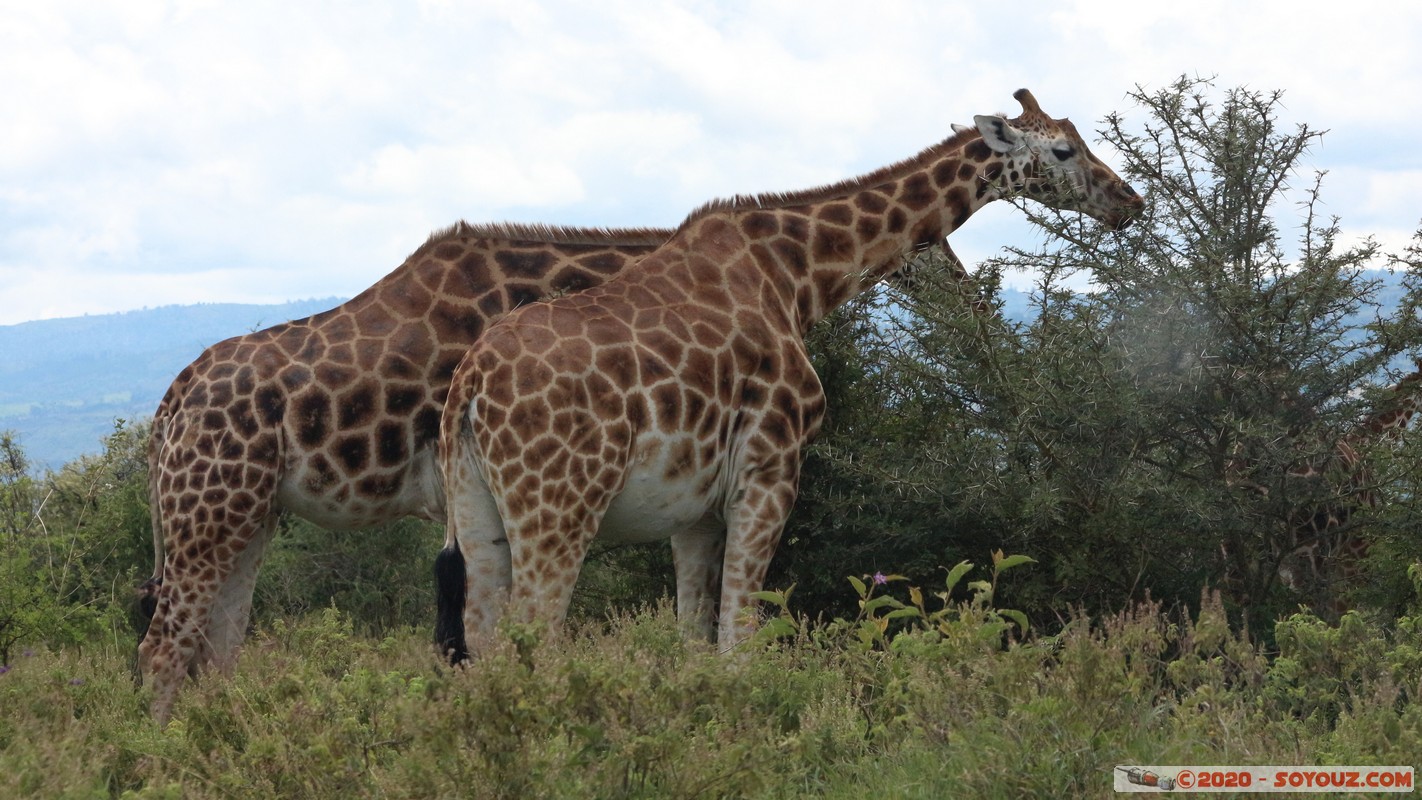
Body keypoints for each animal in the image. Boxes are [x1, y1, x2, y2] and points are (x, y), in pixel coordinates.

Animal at [140, 220, 676, 727]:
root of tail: (172, 401)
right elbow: (464, 634)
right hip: (209, 504)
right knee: (162, 644)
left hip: (251, 512)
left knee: (215, 645)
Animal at [432, 89, 1143, 665]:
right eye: (1063, 150)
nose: (1129, 202)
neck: (797, 276)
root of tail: (469, 388)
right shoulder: (771, 469)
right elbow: (740, 641)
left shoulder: (695, 509)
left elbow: (696, 641)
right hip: (560, 508)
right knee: (533, 638)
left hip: (475, 510)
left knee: (484, 643)